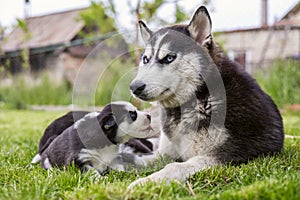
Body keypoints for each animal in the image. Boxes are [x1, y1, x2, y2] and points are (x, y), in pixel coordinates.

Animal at [128, 6, 284, 188]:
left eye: (169, 58)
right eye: (145, 59)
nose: (134, 87)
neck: (197, 101)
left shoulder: (222, 156)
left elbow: (174, 166)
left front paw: (145, 182)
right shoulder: (165, 153)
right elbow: (141, 159)